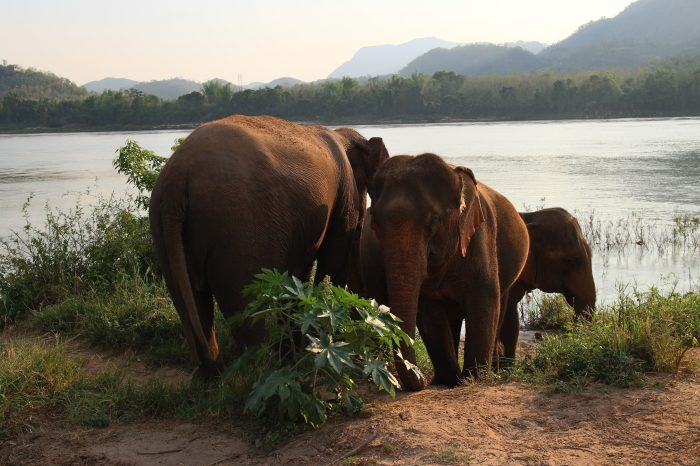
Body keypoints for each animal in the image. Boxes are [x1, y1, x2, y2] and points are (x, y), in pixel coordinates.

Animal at [149, 114, 388, 380]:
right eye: (360, 223)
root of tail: (177, 177)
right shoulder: (343, 197)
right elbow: (330, 265)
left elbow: (296, 278)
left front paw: (296, 352)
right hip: (238, 232)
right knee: (245, 309)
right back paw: (262, 375)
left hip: (164, 230)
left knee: (192, 304)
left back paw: (215, 380)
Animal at [358, 153, 528, 390]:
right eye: (375, 223)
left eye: (435, 219)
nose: (421, 378)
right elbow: (430, 312)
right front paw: (451, 380)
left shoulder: (480, 238)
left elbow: (483, 303)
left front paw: (472, 379)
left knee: (500, 305)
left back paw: (493, 372)